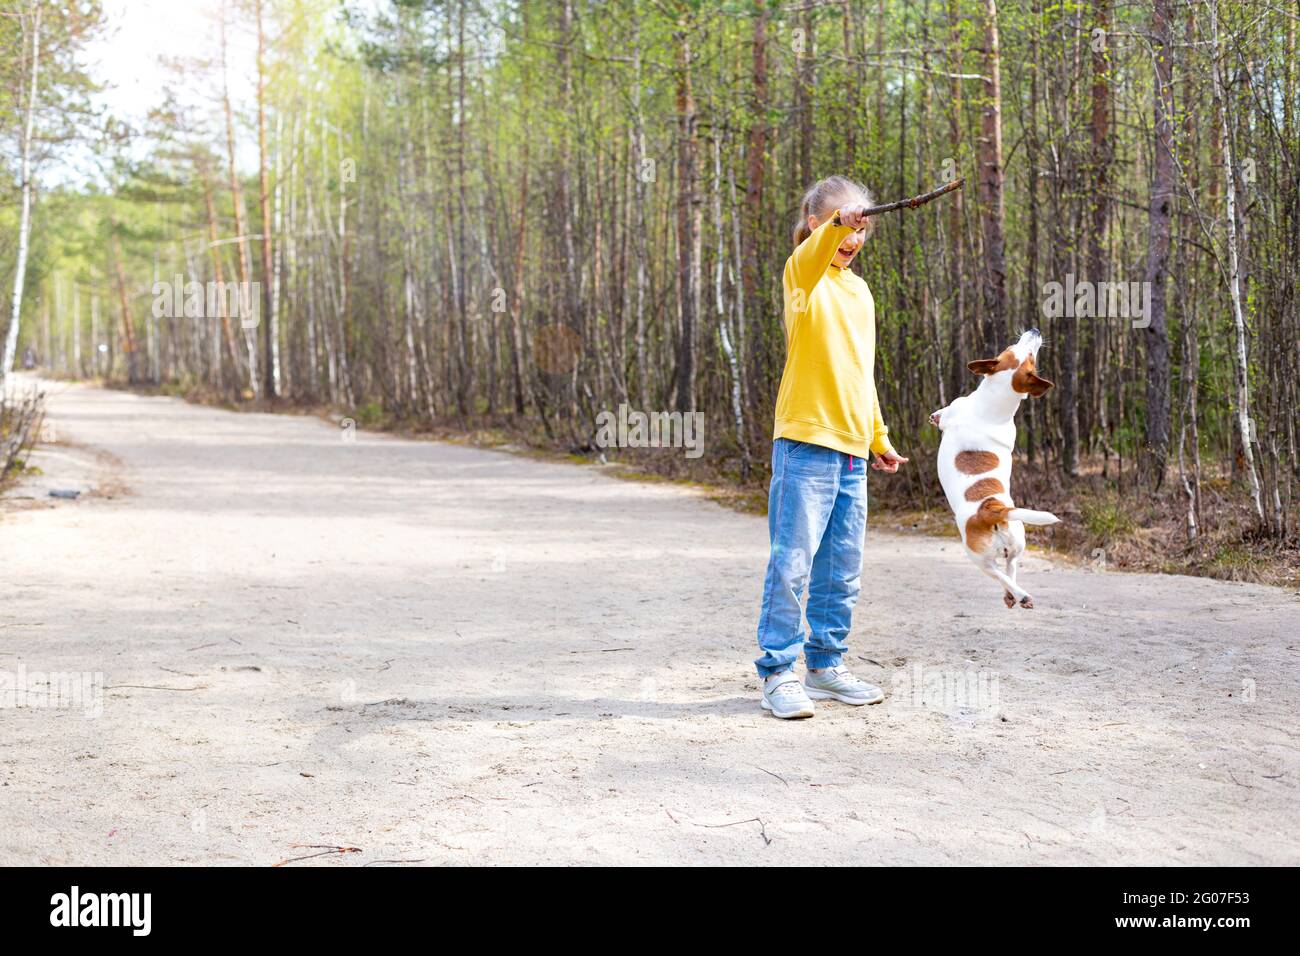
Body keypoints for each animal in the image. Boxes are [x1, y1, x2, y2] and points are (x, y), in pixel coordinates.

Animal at [930, 329, 1060, 608]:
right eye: (1023, 352)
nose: (1036, 330)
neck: (995, 403)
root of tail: (993, 510)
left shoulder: (954, 410)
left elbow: (943, 415)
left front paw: (935, 416)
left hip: (976, 556)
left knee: (998, 572)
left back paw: (1020, 595)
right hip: (1018, 539)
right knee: (1010, 565)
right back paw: (1013, 596)